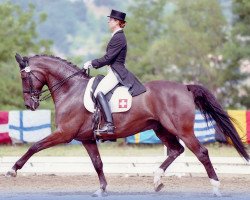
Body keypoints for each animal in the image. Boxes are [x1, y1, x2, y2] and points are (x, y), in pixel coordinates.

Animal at [7, 53, 248, 197]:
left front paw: (12, 170)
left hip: (182, 129)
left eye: (24, 77)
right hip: (160, 128)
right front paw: (101, 189)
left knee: (201, 152)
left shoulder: (64, 133)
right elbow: (97, 163)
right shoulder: (86, 138)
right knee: (175, 150)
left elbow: (35, 146)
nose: (29, 105)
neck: (70, 89)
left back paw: (215, 187)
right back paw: (157, 180)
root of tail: (184, 87)